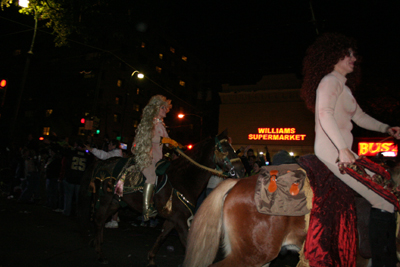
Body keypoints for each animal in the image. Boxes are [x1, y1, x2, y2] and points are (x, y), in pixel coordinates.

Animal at [79, 130, 245, 266]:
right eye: (226, 149)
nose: (242, 171)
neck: (184, 179)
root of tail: (101, 163)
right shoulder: (180, 220)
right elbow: (186, 243)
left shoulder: (173, 219)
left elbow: (162, 235)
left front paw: (151, 257)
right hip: (105, 199)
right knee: (98, 220)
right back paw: (100, 254)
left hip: (115, 202)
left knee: (102, 220)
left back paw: (97, 242)